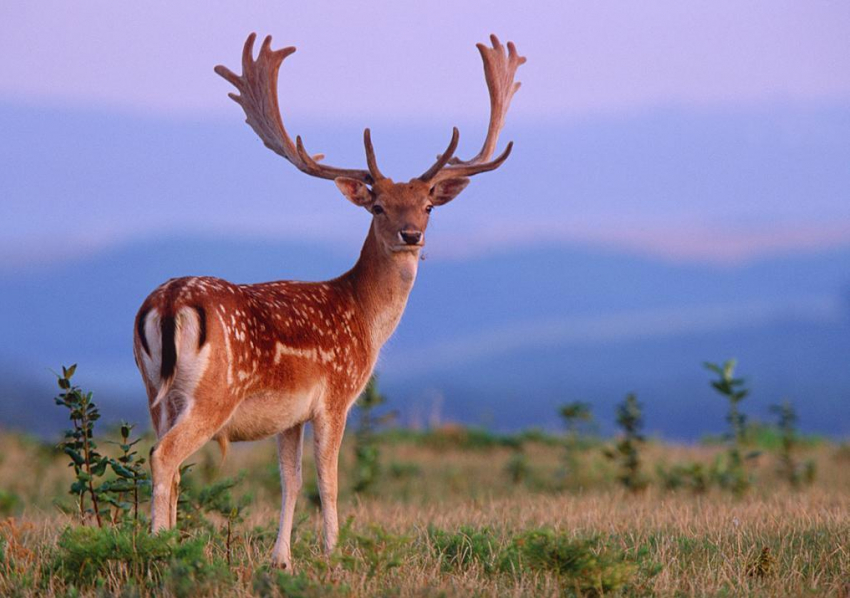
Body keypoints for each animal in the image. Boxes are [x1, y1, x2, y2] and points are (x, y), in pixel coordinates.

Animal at [132, 31, 524, 572]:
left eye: (427, 205)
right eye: (377, 205)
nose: (411, 235)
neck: (363, 319)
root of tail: (169, 302)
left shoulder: (289, 416)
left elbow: (290, 480)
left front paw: (281, 558)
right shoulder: (336, 394)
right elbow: (329, 479)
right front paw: (331, 552)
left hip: (155, 388)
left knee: (162, 457)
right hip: (215, 393)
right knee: (164, 456)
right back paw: (161, 549)